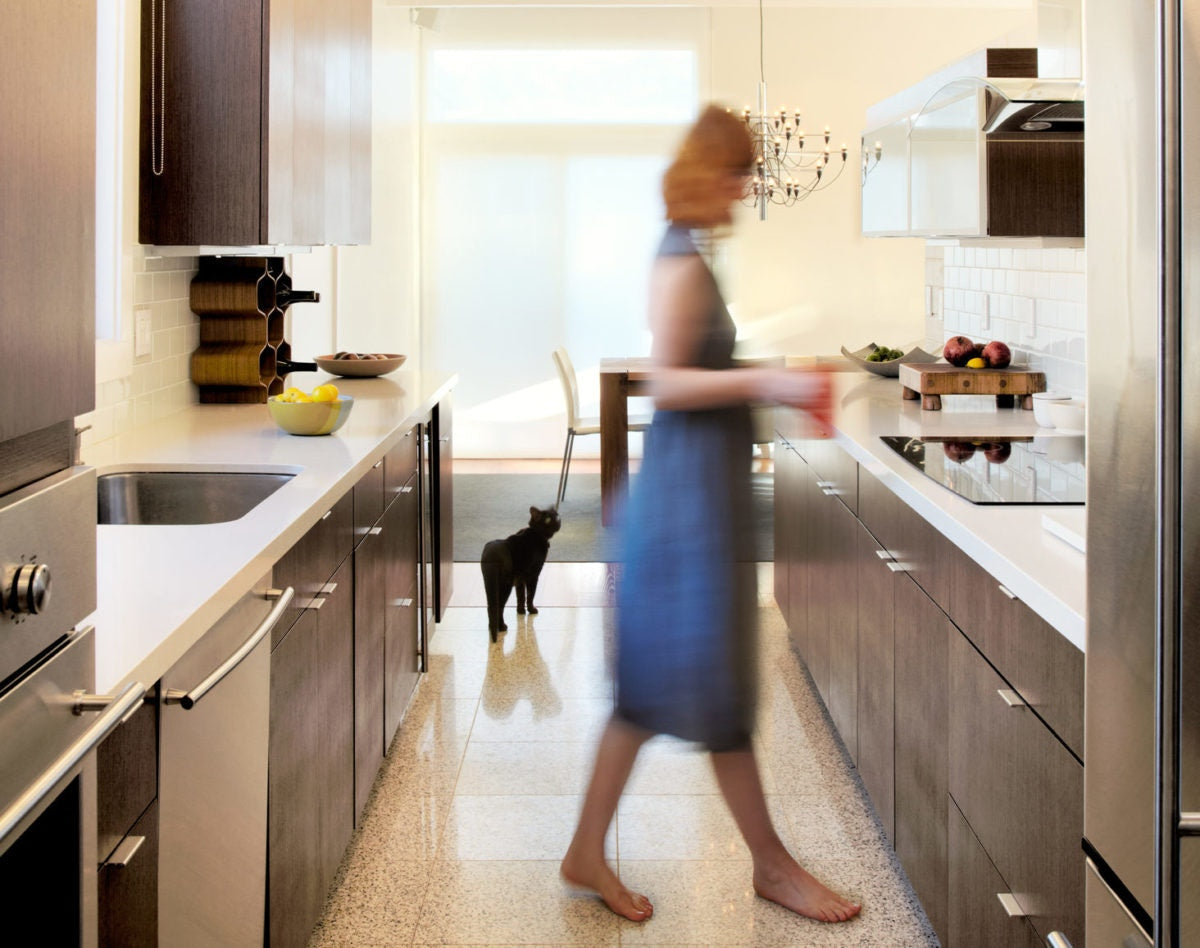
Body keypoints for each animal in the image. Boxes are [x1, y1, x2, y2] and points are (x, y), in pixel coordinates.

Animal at [480, 504, 559, 648]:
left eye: (556, 515)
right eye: (548, 519)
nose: (558, 520)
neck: (536, 533)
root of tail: (491, 555)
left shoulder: (519, 579)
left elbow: (521, 596)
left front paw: (521, 611)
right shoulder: (533, 575)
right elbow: (530, 595)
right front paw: (532, 610)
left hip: (490, 584)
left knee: (491, 607)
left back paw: (491, 627)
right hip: (505, 585)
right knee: (499, 607)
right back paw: (501, 627)